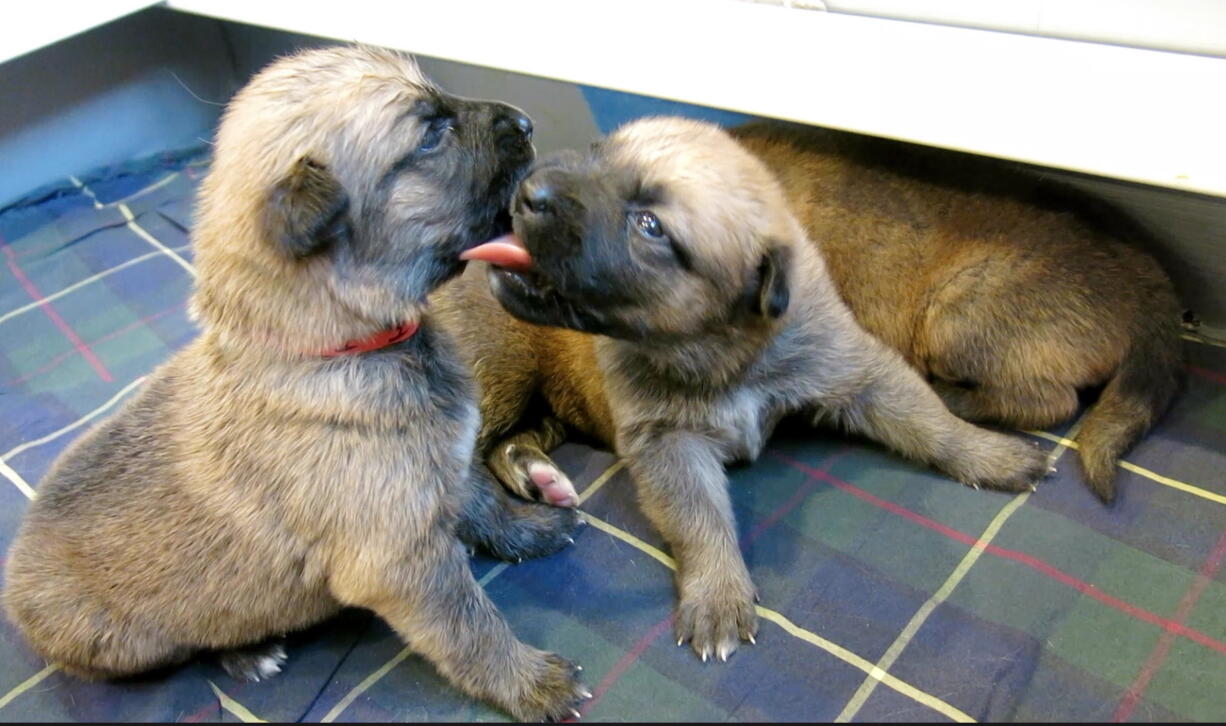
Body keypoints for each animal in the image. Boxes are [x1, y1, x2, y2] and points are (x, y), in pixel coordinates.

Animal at [2, 45, 588, 721]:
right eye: (430, 134)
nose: (526, 122)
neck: (335, 348)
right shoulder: (399, 560)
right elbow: (469, 625)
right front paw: (530, 682)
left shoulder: (440, 468)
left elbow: (486, 503)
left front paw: (533, 529)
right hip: (124, 643)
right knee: (188, 646)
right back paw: (248, 652)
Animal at [436, 116, 1049, 662]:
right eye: (594, 155)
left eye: (650, 225)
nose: (527, 192)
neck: (718, 351)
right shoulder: (667, 440)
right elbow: (700, 518)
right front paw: (718, 594)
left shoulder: (853, 368)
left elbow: (928, 419)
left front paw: (993, 454)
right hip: (500, 369)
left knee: (508, 442)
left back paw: (538, 476)